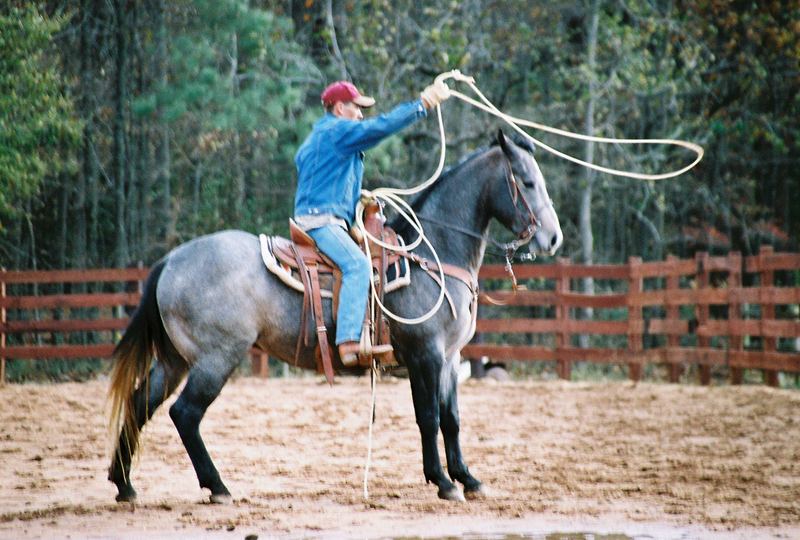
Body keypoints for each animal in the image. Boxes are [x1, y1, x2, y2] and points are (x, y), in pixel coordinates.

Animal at [108, 129, 564, 504]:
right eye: (527, 182)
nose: (553, 238)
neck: (432, 254)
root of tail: (171, 260)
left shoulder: (451, 359)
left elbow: (451, 420)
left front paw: (468, 479)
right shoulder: (426, 356)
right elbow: (429, 417)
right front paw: (443, 482)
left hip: (176, 360)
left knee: (140, 403)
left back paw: (124, 483)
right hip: (215, 359)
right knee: (185, 414)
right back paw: (217, 487)